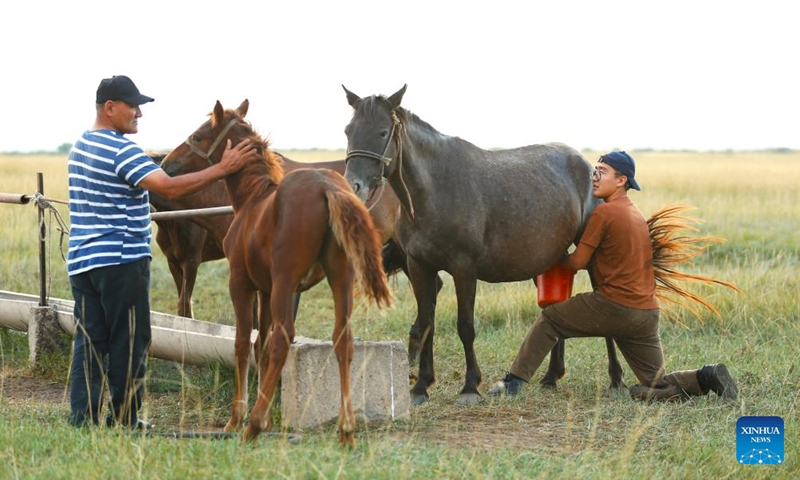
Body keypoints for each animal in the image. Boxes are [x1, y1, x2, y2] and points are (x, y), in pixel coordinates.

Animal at [161, 100, 392, 446]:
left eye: (198, 136)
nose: (166, 164)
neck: (252, 200)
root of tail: (327, 188)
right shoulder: (265, 289)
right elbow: (262, 347)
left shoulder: (241, 283)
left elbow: (244, 344)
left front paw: (238, 419)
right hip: (340, 279)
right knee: (342, 339)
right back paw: (346, 430)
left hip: (286, 281)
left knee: (285, 338)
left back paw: (252, 427)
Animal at [340, 84, 620, 404]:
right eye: (348, 130)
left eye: (383, 132)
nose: (354, 186)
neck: (433, 190)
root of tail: (586, 165)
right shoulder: (419, 266)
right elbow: (426, 324)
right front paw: (421, 385)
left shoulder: (464, 269)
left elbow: (465, 326)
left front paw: (470, 386)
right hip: (550, 258)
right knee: (553, 309)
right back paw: (551, 377)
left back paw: (616, 379)